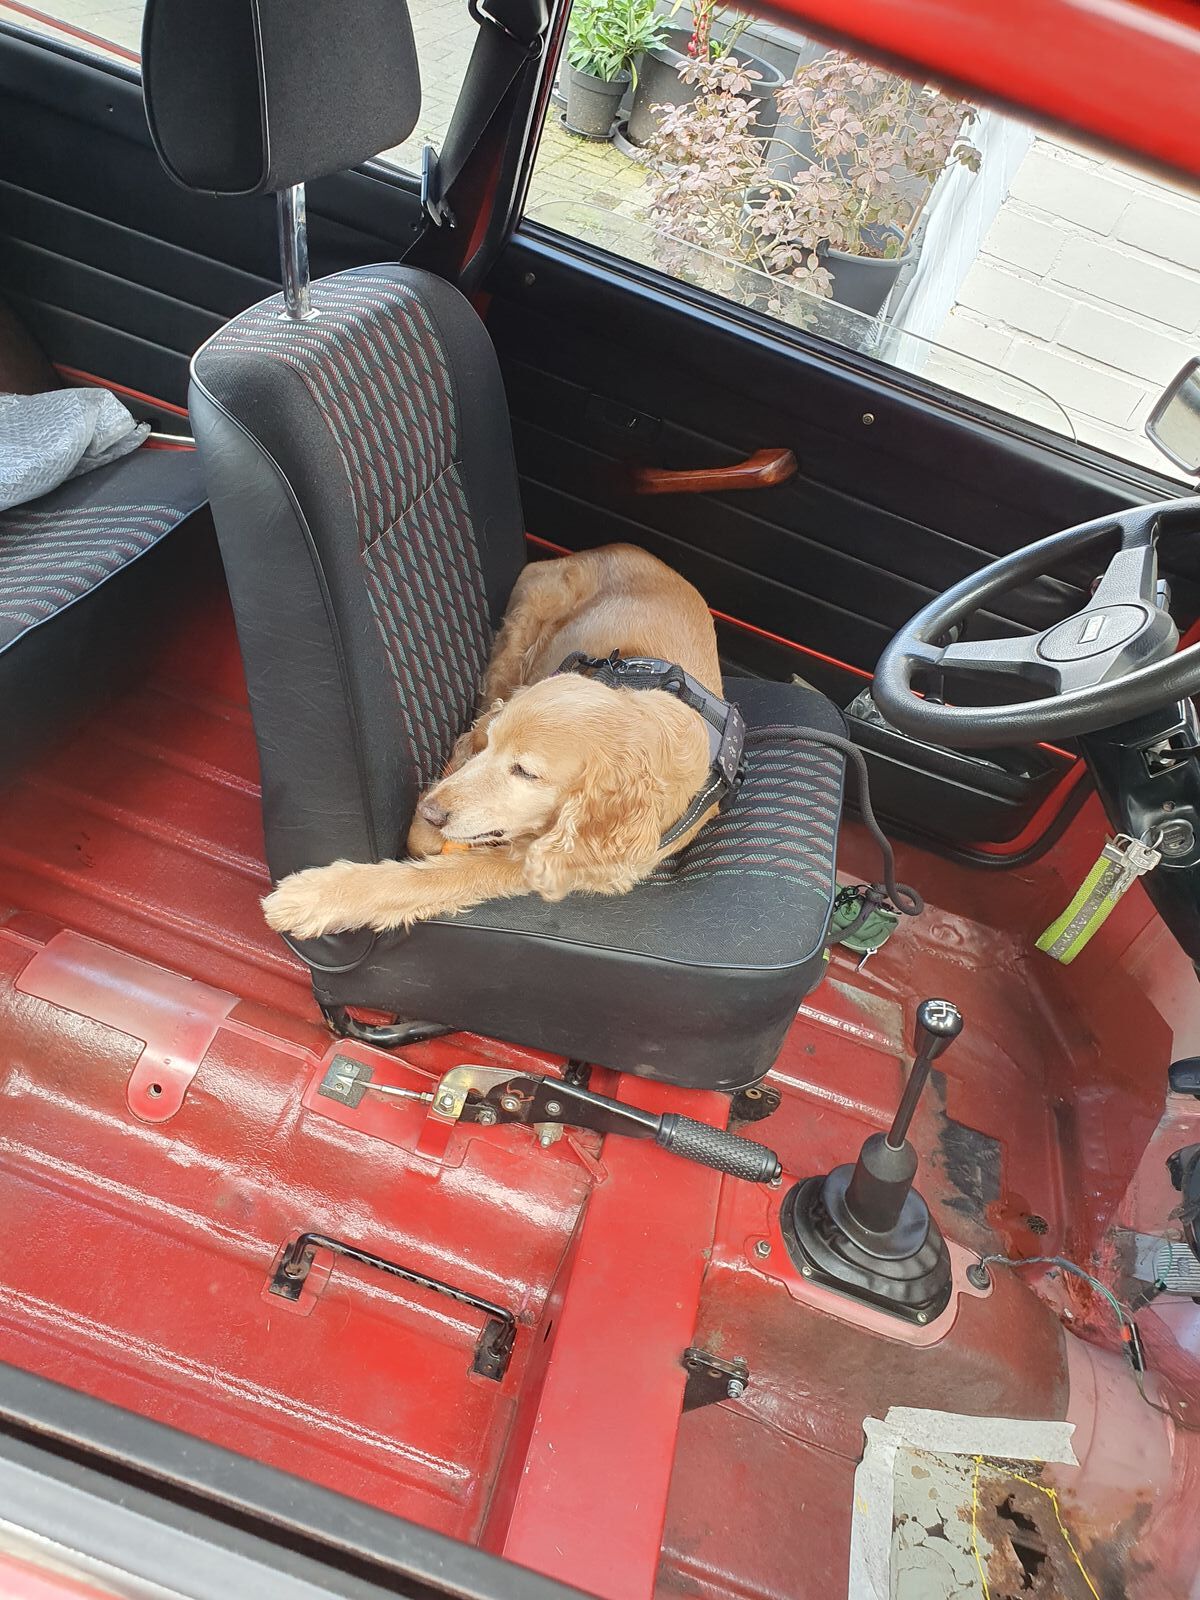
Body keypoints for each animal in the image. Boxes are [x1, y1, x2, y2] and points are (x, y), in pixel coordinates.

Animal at [262, 544, 725, 938]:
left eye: (525, 771)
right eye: (492, 747)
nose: (430, 811)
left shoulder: (556, 861)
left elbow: (447, 876)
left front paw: (310, 897)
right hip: (522, 629)